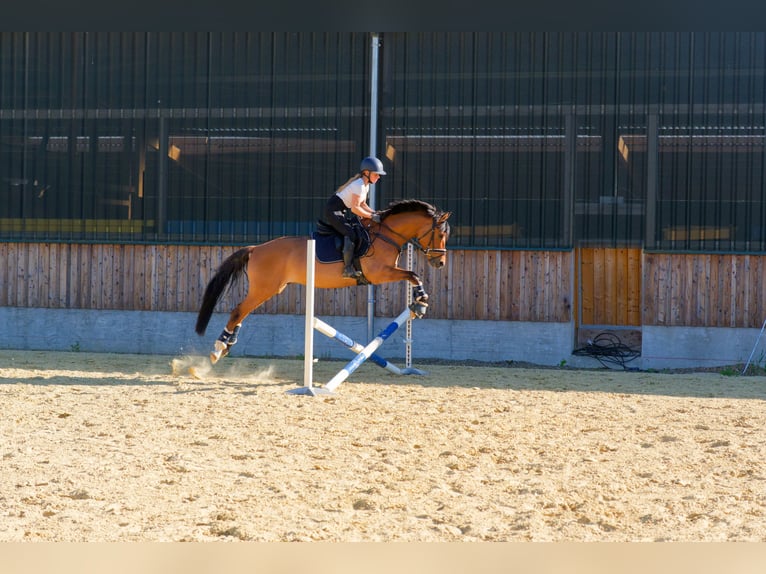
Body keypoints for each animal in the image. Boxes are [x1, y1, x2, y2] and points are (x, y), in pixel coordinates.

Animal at [195, 199, 452, 363]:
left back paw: (228, 345)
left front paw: (420, 302)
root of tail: (256, 248)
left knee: (243, 312)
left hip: (268, 290)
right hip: (264, 288)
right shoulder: (379, 273)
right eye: (441, 234)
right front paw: (421, 300)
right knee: (238, 310)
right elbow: (412, 274)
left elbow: (411, 274)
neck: (386, 234)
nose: (440, 263)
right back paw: (218, 349)